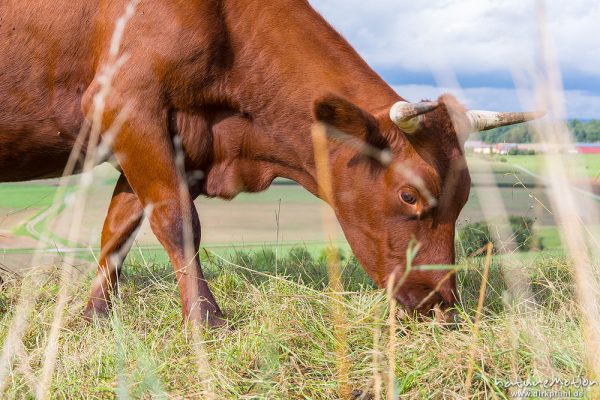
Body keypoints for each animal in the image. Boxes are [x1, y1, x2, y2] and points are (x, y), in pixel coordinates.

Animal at [0, 0, 544, 328]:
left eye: (464, 197)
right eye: (409, 194)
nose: (442, 307)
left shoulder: (177, 139)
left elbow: (118, 230)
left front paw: (93, 317)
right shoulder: (128, 106)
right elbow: (177, 222)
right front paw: (206, 321)